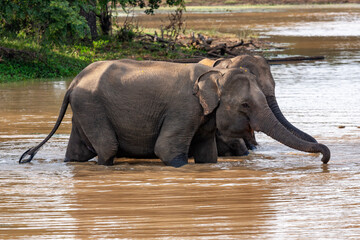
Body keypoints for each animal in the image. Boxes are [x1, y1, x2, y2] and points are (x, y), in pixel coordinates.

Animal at [19, 59, 330, 167]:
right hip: (92, 108)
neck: (214, 75)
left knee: (78, 152)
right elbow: (167, 150)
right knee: (107, 149)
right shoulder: (184, 109)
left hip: (85, 111)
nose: (325, 157)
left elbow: (207, 155)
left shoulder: (203, 115)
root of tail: (73, 82)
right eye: (245, 105)